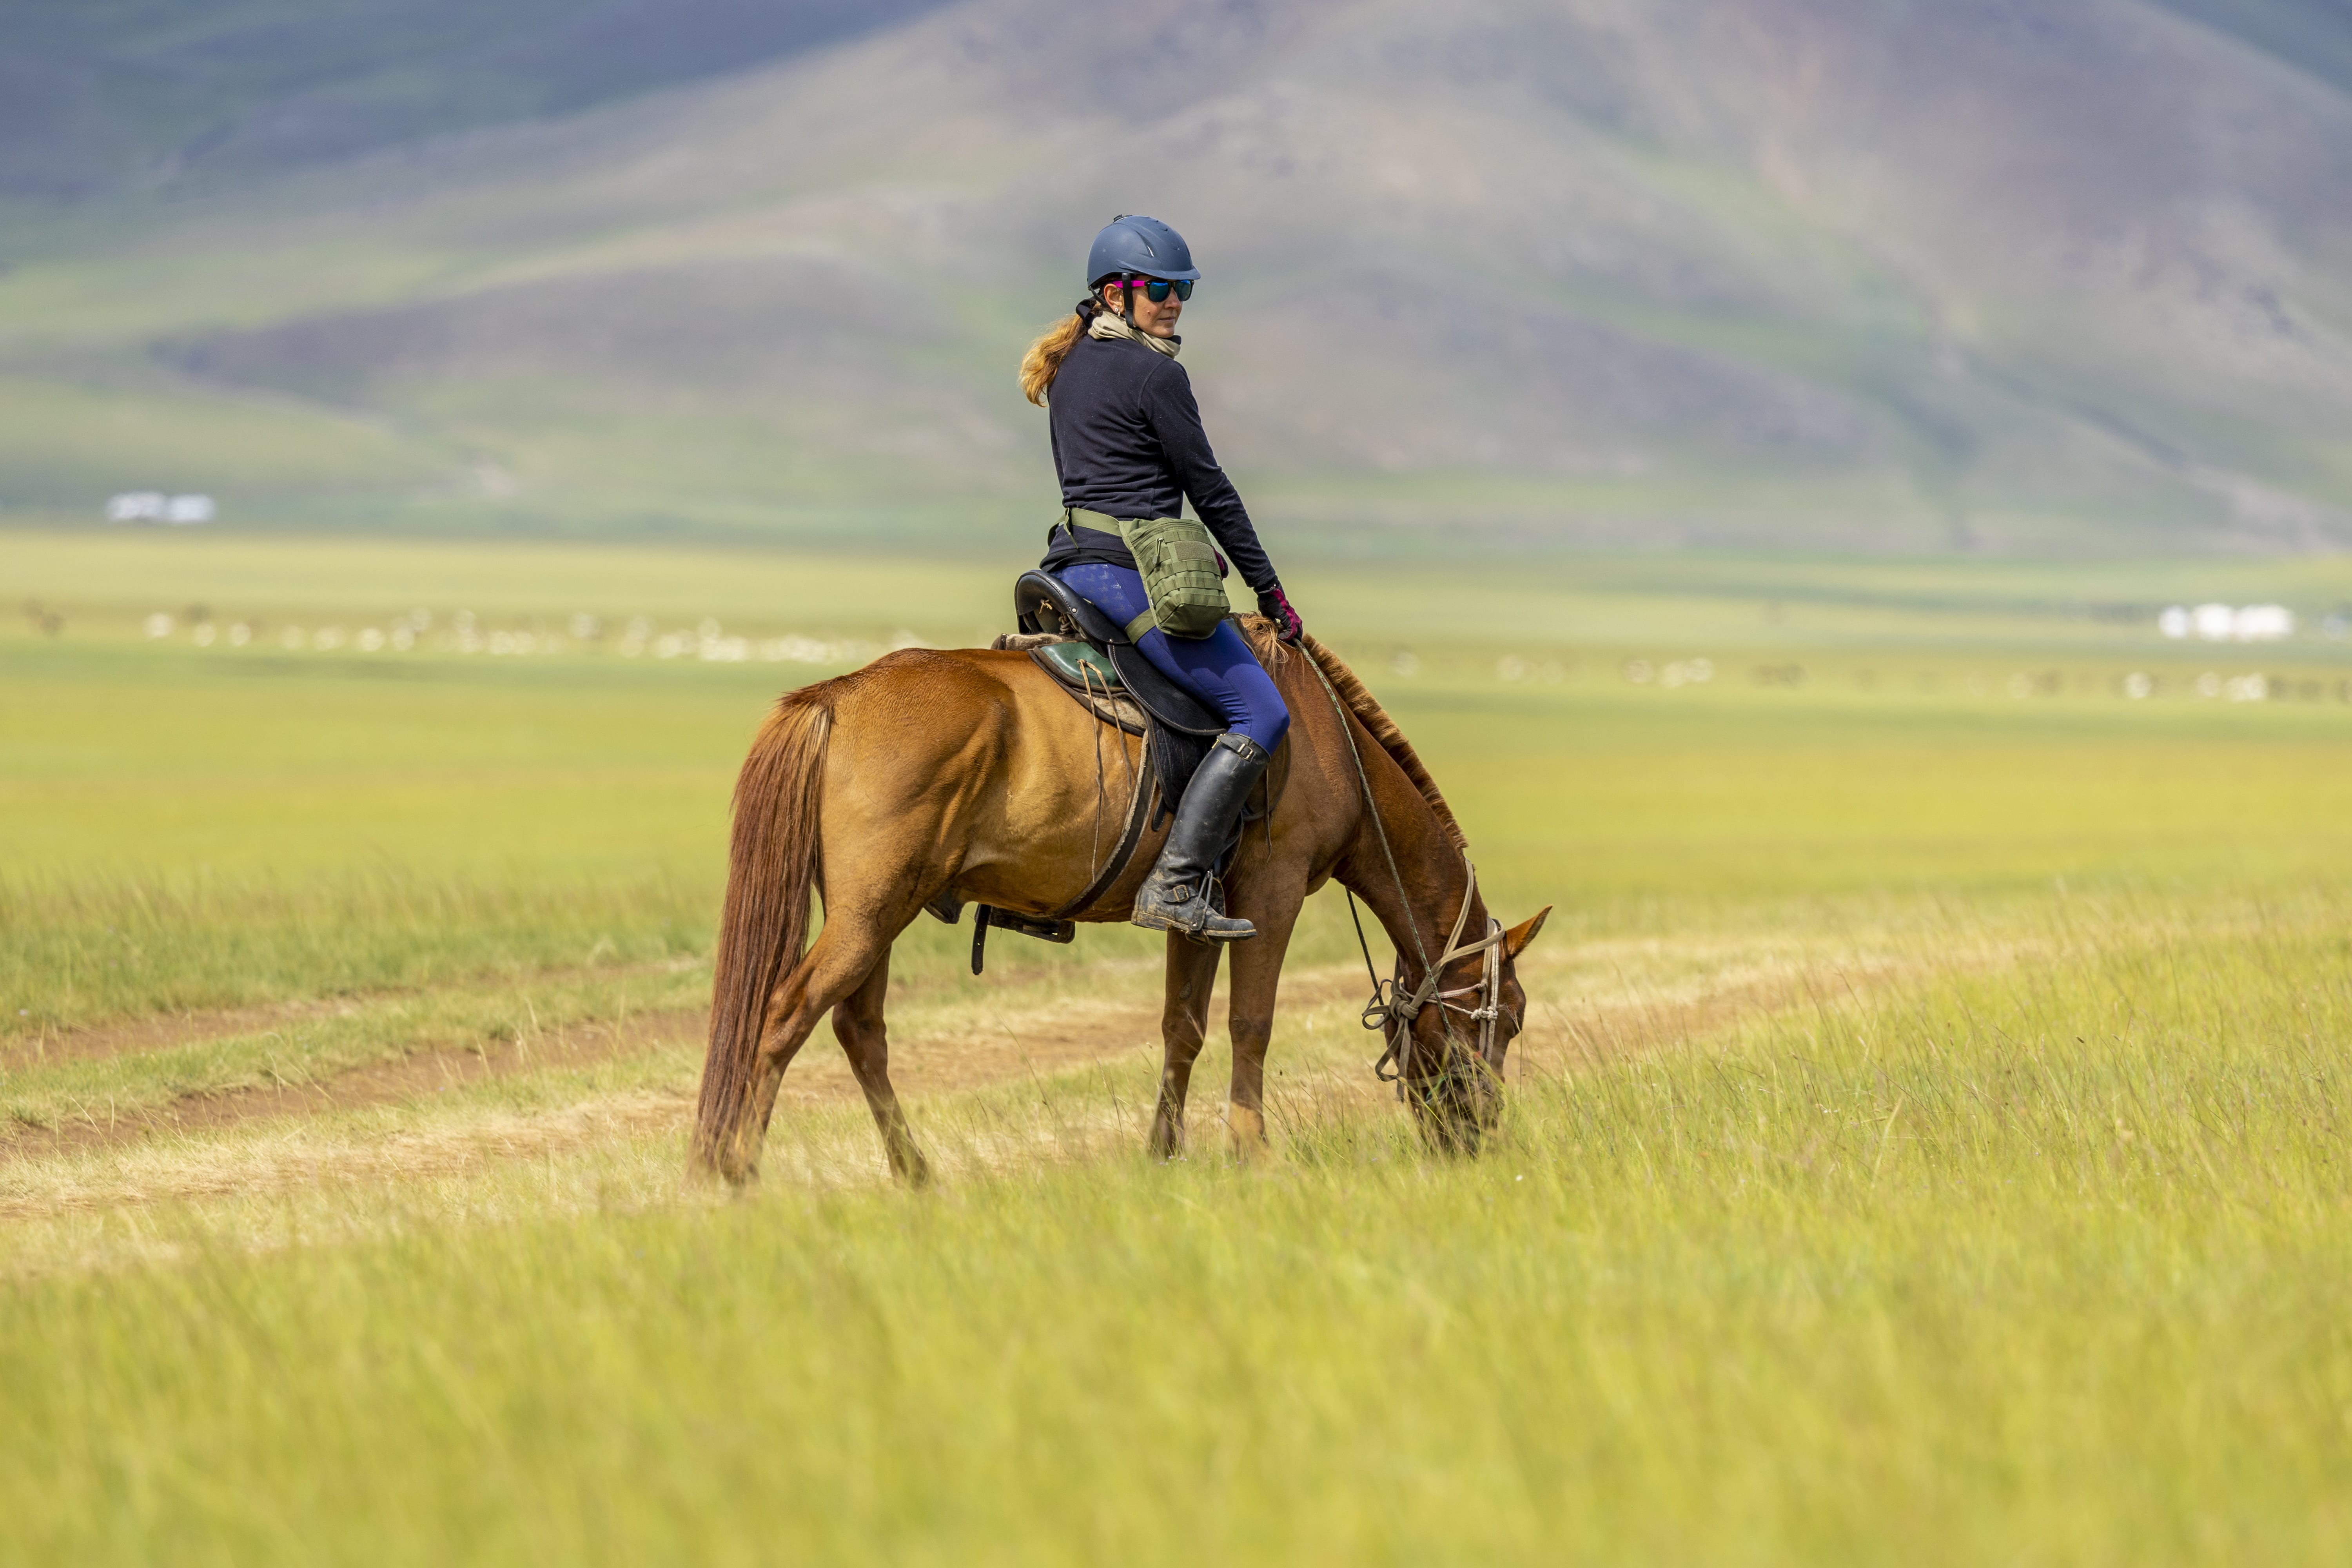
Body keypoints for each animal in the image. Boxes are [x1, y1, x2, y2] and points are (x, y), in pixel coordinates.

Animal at [687, 621, 1552, 1185]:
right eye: (1508, 1017)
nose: (1483, 1130)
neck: (1331, 745)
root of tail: (839, 694)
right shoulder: (1271, 896)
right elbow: (1251, 1023)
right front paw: (1253, 1153)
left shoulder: (1196, 909)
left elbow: (1183, 1028)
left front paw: (1163, 1153)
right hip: (870, 916)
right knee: (783, 1016)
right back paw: (735, 1170)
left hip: (877, 914)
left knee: (859, 1032)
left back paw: (915, 1174)